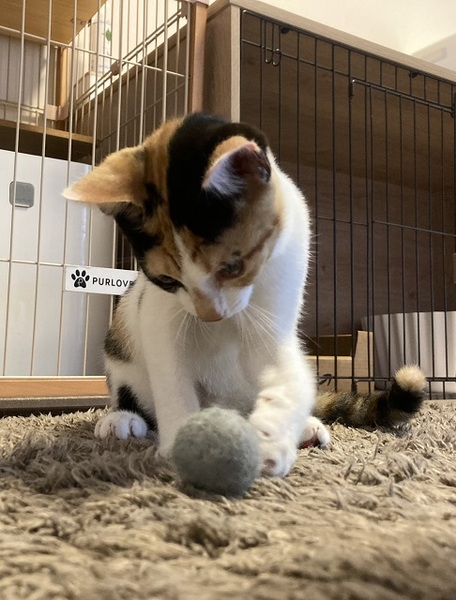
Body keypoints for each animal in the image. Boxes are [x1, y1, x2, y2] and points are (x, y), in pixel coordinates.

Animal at [64, 113, 426, 477]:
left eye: (233, 266)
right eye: (166, 279)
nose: (210, 315)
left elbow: (282, 372)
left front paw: (271, 442)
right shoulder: (158, 315)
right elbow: (171, 374)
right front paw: (178, 438)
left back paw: (303, 427)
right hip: (124, 334)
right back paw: (123, 418)